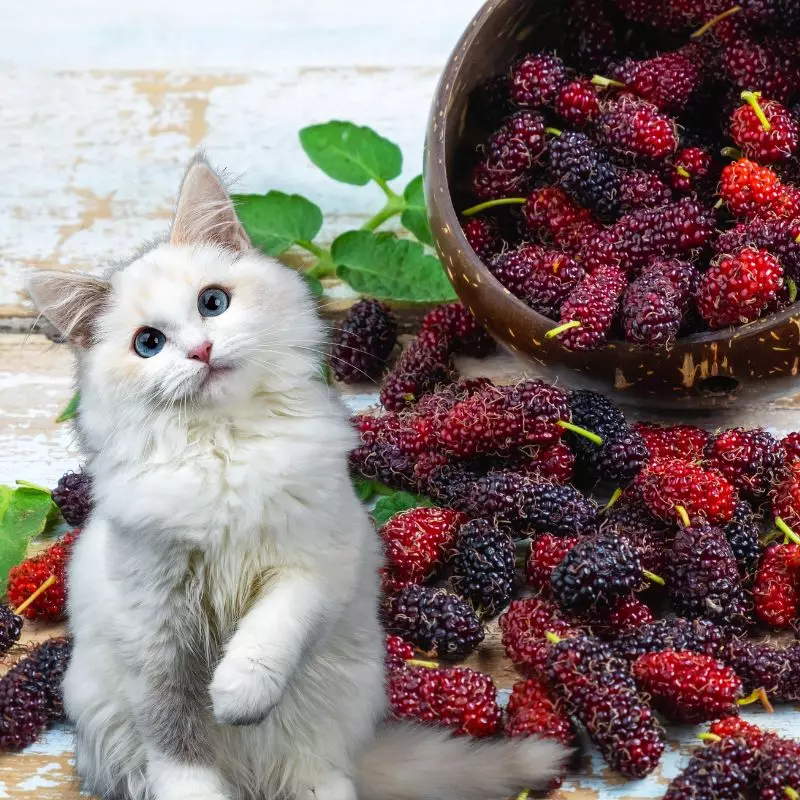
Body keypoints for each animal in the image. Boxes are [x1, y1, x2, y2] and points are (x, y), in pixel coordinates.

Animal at [28, 156, 568, 800]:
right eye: (149, 344)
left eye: (213, 303)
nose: (201, 350)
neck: (226, 450)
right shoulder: (155, 630)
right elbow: (179, 747)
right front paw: (203, 771)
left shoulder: (314, 562)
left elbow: (269, 633)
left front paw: (237, 695)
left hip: (327, 722)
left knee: (320, 777)